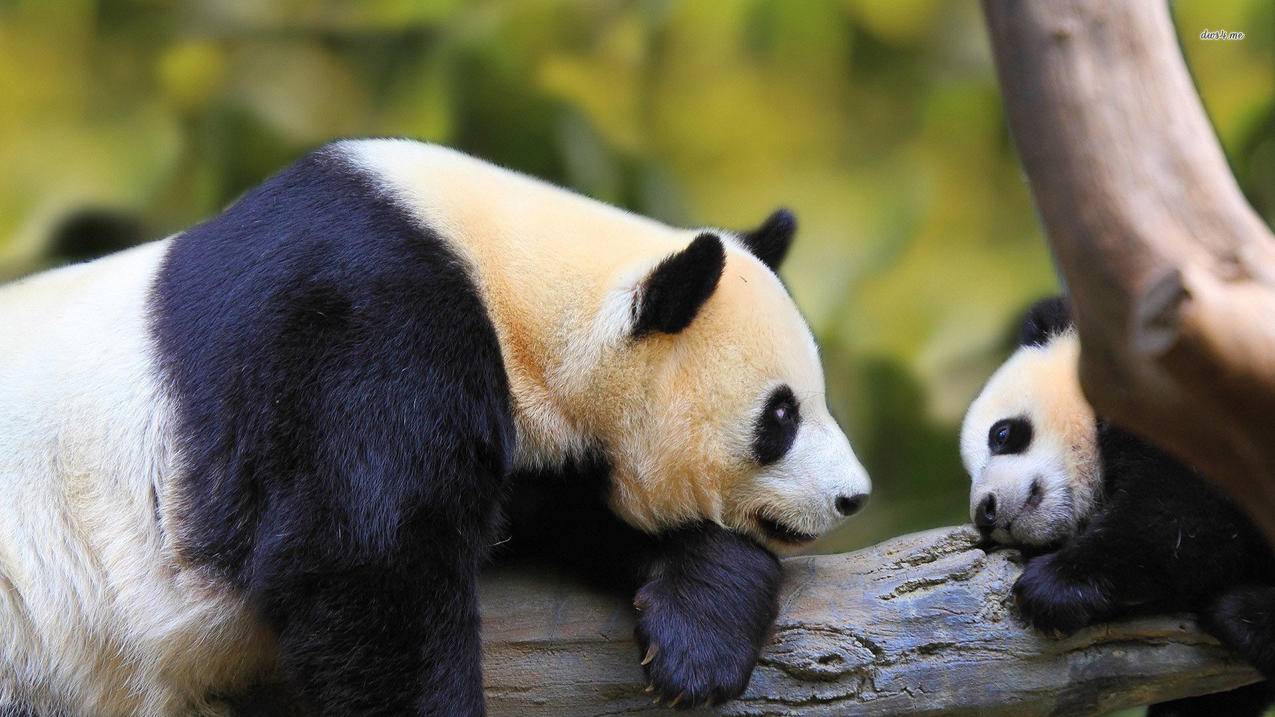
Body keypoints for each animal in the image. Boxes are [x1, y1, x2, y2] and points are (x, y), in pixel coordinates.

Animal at [0, 140, 872, 714]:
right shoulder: (358, 326)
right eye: (781, 414)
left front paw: (697, 637)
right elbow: (368, 557)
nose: (852, 496)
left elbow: (575, 516)